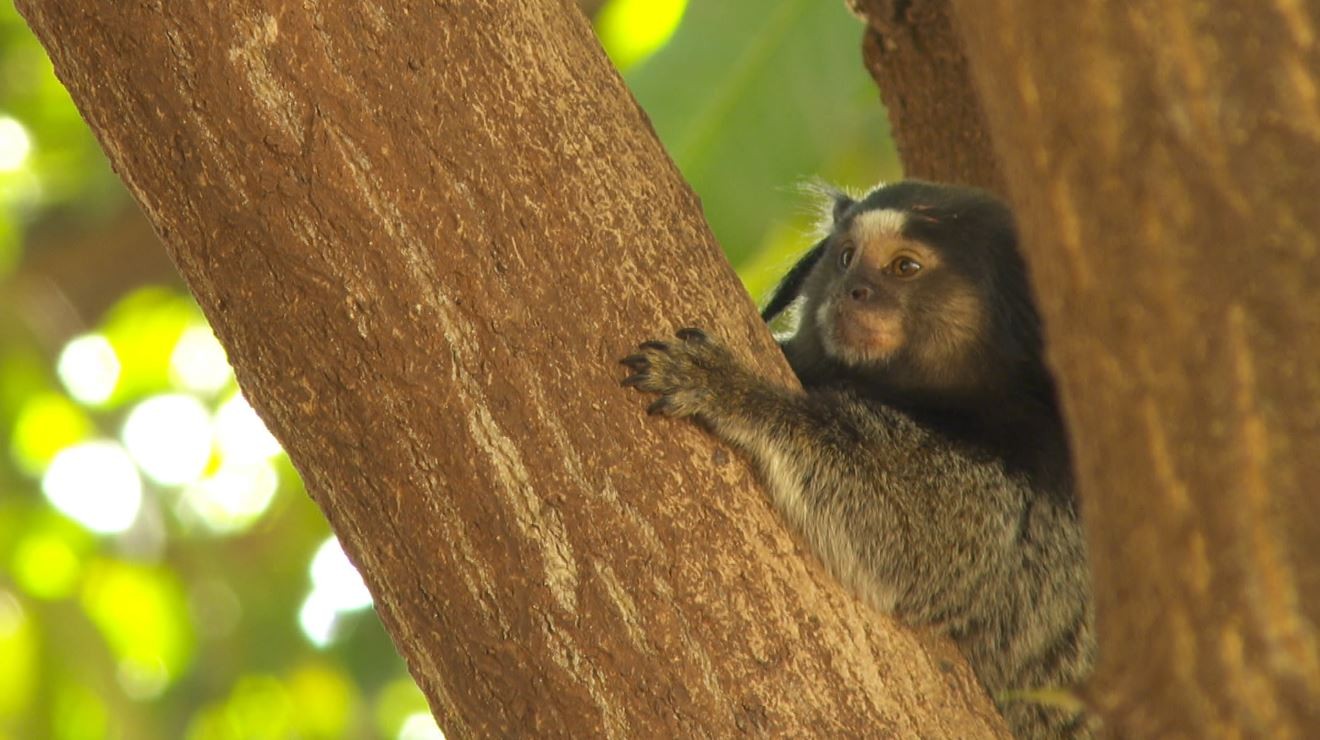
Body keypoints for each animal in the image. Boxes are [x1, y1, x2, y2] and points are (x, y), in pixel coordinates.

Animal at [623, 180, 1098, 738]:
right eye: (846, 258)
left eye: (904, 267)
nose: (852, 291)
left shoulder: (1032, 498)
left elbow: (920, 539)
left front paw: (738, 392)